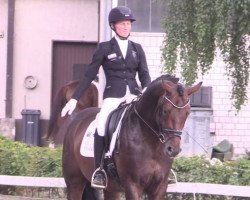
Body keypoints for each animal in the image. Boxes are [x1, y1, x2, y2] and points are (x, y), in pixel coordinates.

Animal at [61, 74, 202, 199]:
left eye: (187, 113)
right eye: (165, 111)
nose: (173, 149)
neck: (152, 143)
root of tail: (77, 119)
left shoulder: (159, 187)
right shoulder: (132, 185)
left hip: (111, 188)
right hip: (74, 182)